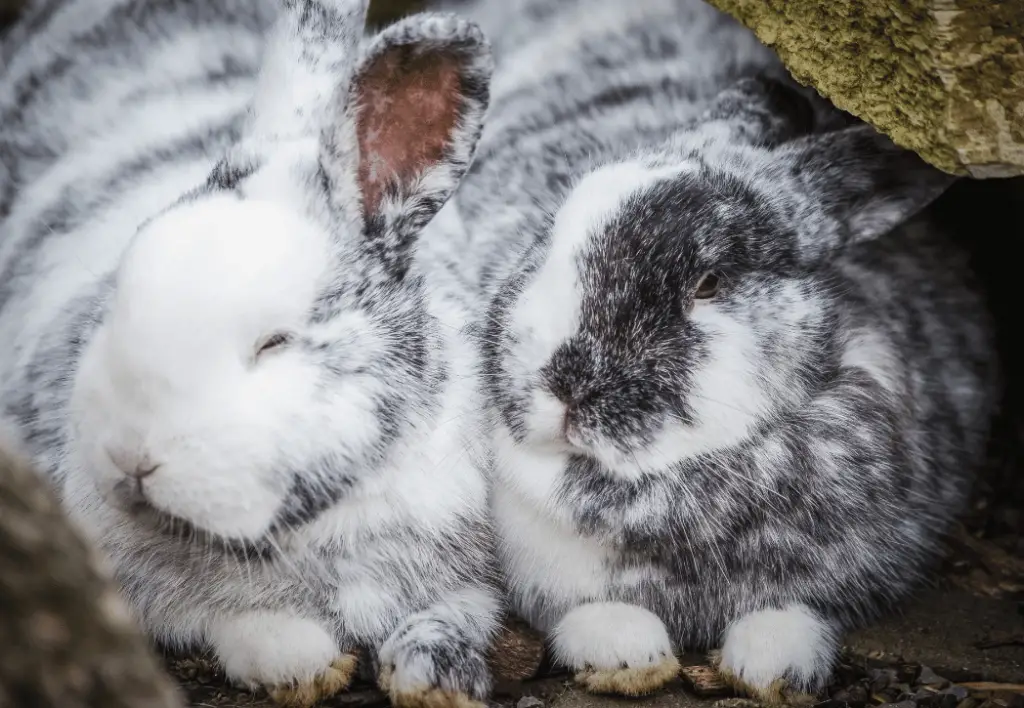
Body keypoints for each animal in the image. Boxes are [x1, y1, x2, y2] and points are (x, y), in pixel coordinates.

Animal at [1, 1, 503, 708]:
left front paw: (431, 673)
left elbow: (464, 610)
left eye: (275, 342)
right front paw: (302, 665)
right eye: (119, 289)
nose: (131, 455)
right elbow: (243, 626)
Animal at [442, 0, 999, 700]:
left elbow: (788, 616)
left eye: (709, 284)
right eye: (548, 232)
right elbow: (597, 613)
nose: (564, 387)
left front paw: (774, 667)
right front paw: (624, 654)